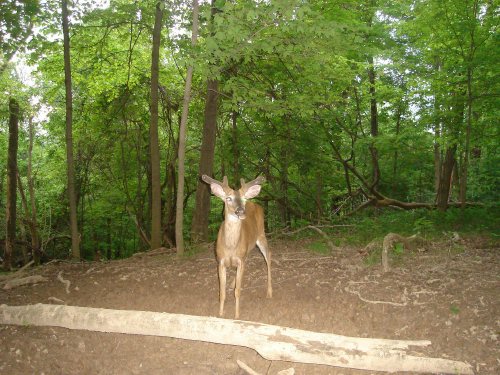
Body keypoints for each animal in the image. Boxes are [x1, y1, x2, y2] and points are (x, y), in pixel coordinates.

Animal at [200, 174, 274, 320]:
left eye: (244, 198)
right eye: (228, 198)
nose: (241, 211)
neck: (230, 247)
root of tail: (255, 203)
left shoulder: (239, 260)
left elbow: (237, 291)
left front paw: (237, 315)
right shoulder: (221, 261)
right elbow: (222, 291)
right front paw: (220, 314)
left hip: (261, 234)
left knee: (268, 255)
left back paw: (269, 292)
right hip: (249, 246)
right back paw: (231, 283)